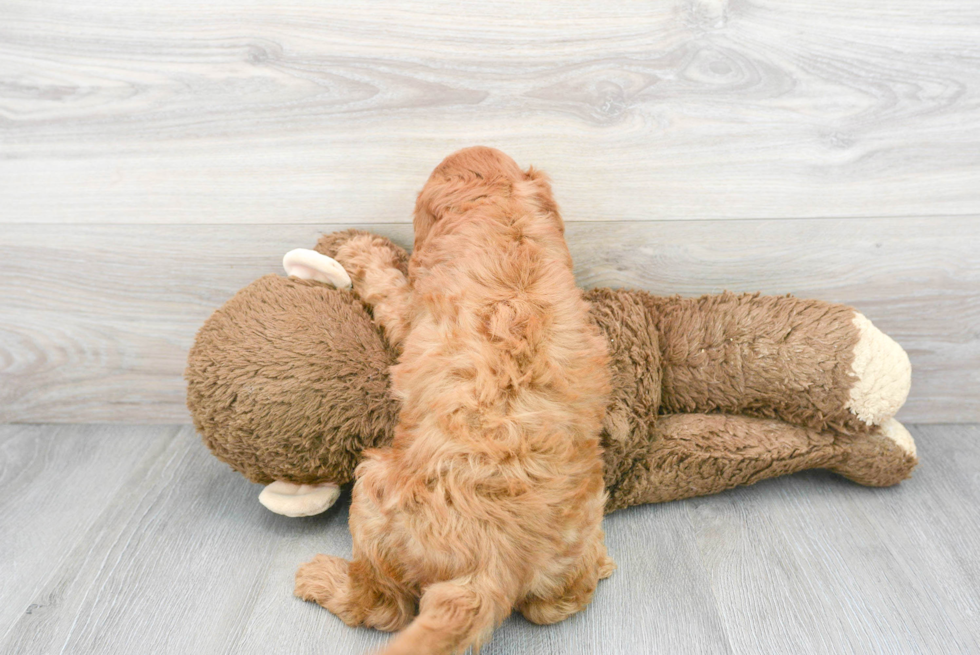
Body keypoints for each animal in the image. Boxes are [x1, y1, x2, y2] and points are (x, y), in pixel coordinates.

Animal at [294, 149, 612, 655]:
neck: (508, 226)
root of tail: (493, 564)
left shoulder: (412, 316)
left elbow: (389, 287)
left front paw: (363, 250)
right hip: (572, 544)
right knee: (554, 607)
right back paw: (599, 567)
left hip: (373, 494)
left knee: (381, 607)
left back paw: (322, 578)